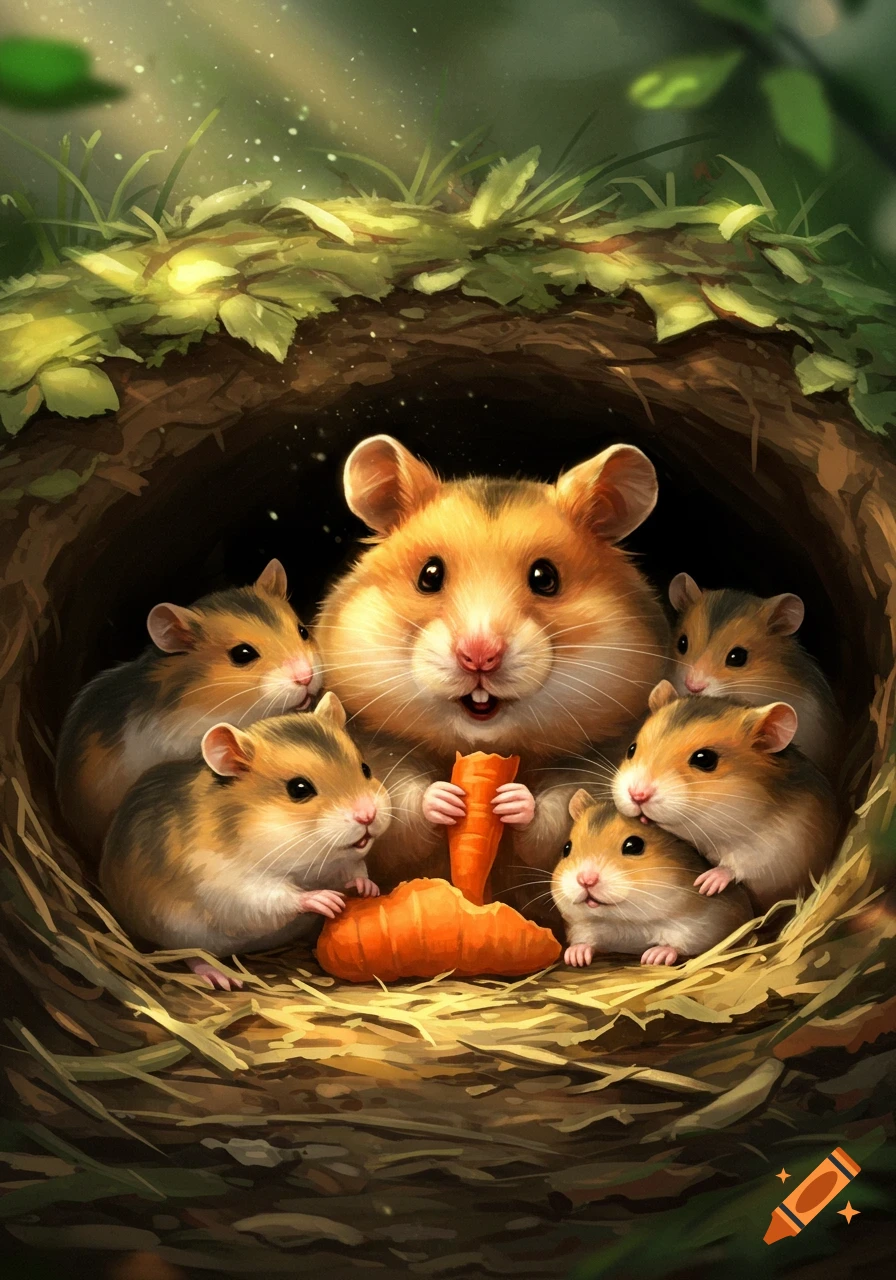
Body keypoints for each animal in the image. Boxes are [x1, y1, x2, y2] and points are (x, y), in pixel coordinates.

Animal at [100, 693, 391, 990]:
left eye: (366, 768)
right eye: (299, 789)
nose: (367, 815)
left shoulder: (340, 863)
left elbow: (356, 868)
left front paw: (367, 889)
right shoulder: (230, 884)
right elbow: (278, 896)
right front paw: (328, 900)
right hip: (176, 931)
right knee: (191, 954)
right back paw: (223, 979)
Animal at [316, 435, 669, 891]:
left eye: (545, 577)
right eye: (429, 575)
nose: (479, 655)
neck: (481, 747)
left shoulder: (601, 762)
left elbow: (561, 814)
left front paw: (512, 801)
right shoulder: (373, 749)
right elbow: (397, 804)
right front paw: (446, 799)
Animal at [552, 790, 752, 966]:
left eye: (633, 845)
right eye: (566, 848)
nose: (585, 880)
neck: (626, 921)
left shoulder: (703, 925)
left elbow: (678, 943)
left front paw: (653, 957)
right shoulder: (582, 928)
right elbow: (585, 940)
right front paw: (574, 957)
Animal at [612, 681, 838, 913]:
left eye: (705, 759)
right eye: (631, 749)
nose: (637, 795)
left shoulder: (776, 847)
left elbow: (739, 864)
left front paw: (706, 884)